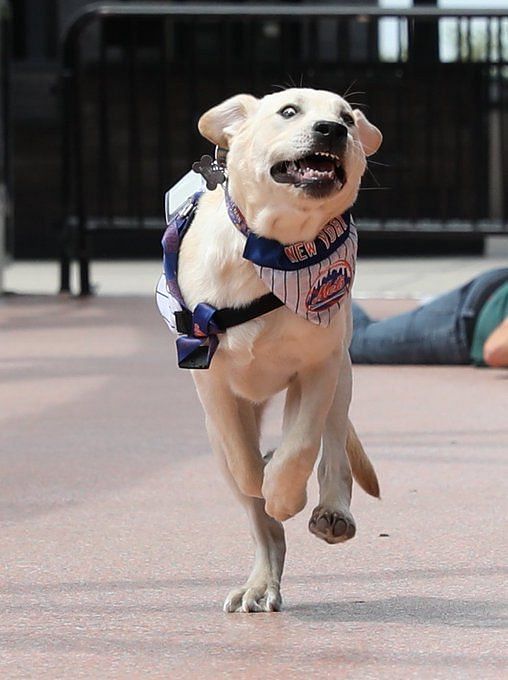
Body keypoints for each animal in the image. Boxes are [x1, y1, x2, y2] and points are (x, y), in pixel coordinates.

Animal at [165, 87, 380, 612]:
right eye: (288, 112)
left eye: (347, 118)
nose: (333, 130)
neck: (278, 252)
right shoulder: (210, 376)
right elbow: (243, 461)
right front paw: (258, 479)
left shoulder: (318, 367)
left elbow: (300, 446)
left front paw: (283, 492)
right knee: (263, 526)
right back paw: (261, 583)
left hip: (342, 378)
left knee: (332, 449)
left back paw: (331, 511)